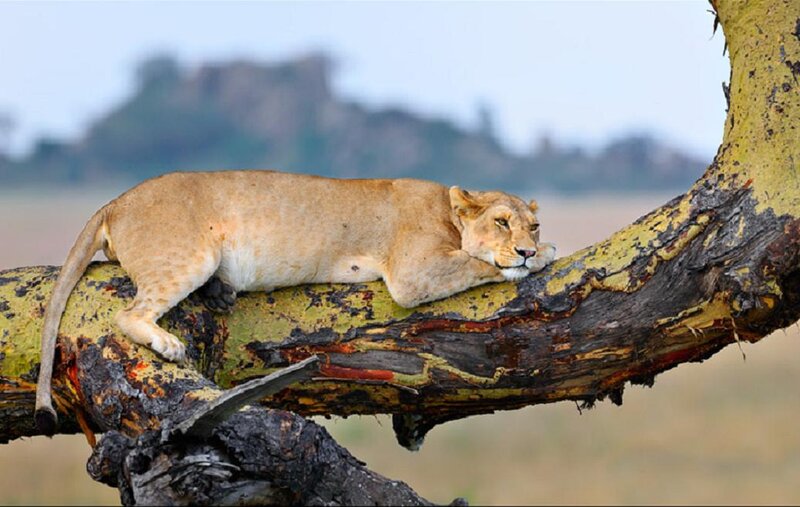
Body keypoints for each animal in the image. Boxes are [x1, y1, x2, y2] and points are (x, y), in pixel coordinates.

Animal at [34, 170, 556, 432]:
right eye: (502, 222)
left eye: (532, 225)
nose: (528, 247)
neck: (448, 214)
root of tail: (115, 201)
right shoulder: (412, 274)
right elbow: (477, 263)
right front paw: (541, 258)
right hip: (188, 256)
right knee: (129, 313)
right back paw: (168, 343)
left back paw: (220, 291)